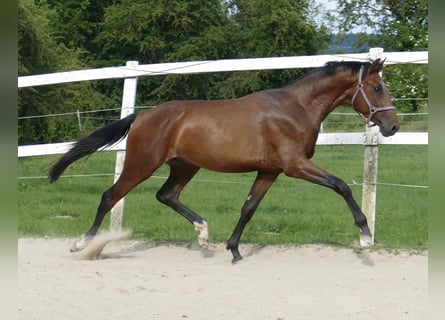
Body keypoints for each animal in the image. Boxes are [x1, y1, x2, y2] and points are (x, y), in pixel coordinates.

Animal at [49, 59, 398, 262]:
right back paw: (83, 245)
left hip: (185, 166)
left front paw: (234, 250)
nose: (392, 126)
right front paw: (364, 234)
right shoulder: (295, 165)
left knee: (166, 195)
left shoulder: (270, 171)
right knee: (110, 196)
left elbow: (248, 208)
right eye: (377, 87)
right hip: (141, 164)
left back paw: (203, 233)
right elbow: (341, 186)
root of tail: (143, 116)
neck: (295, 109)